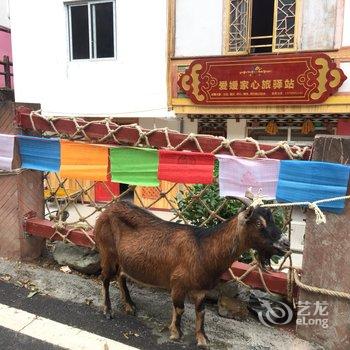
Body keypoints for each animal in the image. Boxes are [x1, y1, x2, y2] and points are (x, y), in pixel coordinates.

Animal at [94, 201, 288, 346]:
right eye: (259, 223)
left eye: (273, 221)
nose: (285, 244)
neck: (203, 248)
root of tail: (106, 211)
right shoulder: (178, 284)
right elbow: (179, 309)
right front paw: (176, 333)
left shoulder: (202, 290)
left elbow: (201, 312)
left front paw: (202, 338)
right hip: (107, 252)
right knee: (105, 278)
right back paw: (108, 310)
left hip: (122, 259)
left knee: (121, 276)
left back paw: (129, 306)